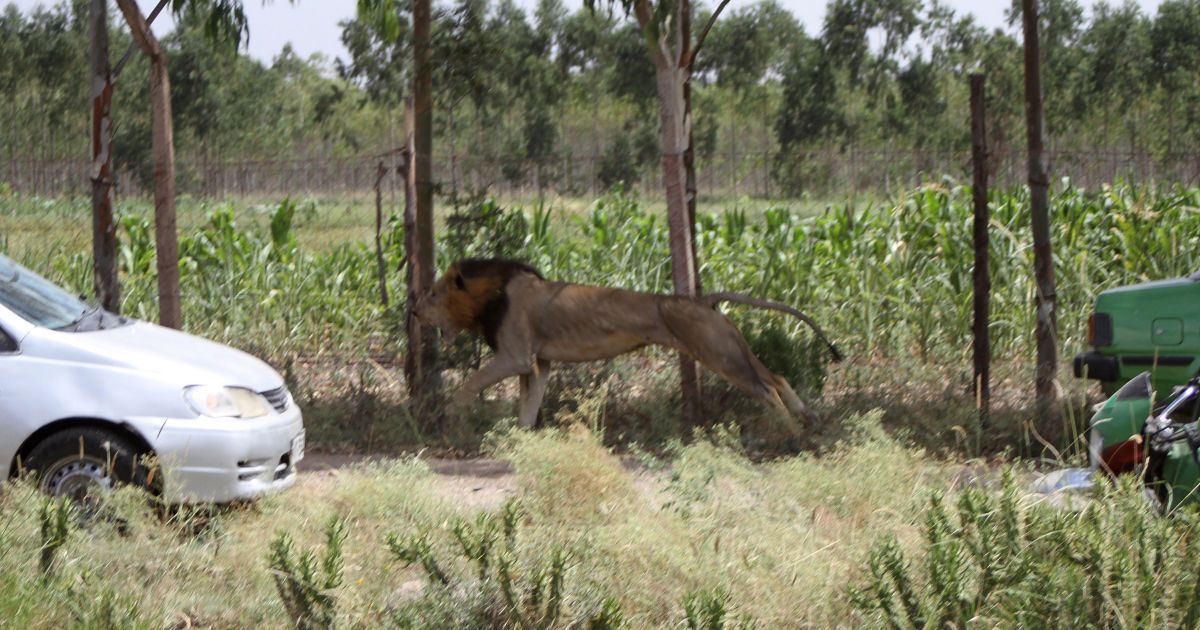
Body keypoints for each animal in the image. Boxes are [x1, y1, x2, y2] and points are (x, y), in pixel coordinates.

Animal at [413, 258, 841, 429]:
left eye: (433, 294)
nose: (414, 311)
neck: (491, 296)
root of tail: (701, 300)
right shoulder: (539, 362)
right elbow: (527, 408)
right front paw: (521, 442)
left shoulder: (516, 356)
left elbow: (468, 387)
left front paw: (447, 417)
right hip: (728, 344)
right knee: (777, 378)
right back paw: (808, 420)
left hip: (716, 351)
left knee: (766, 389)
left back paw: (790, 434)